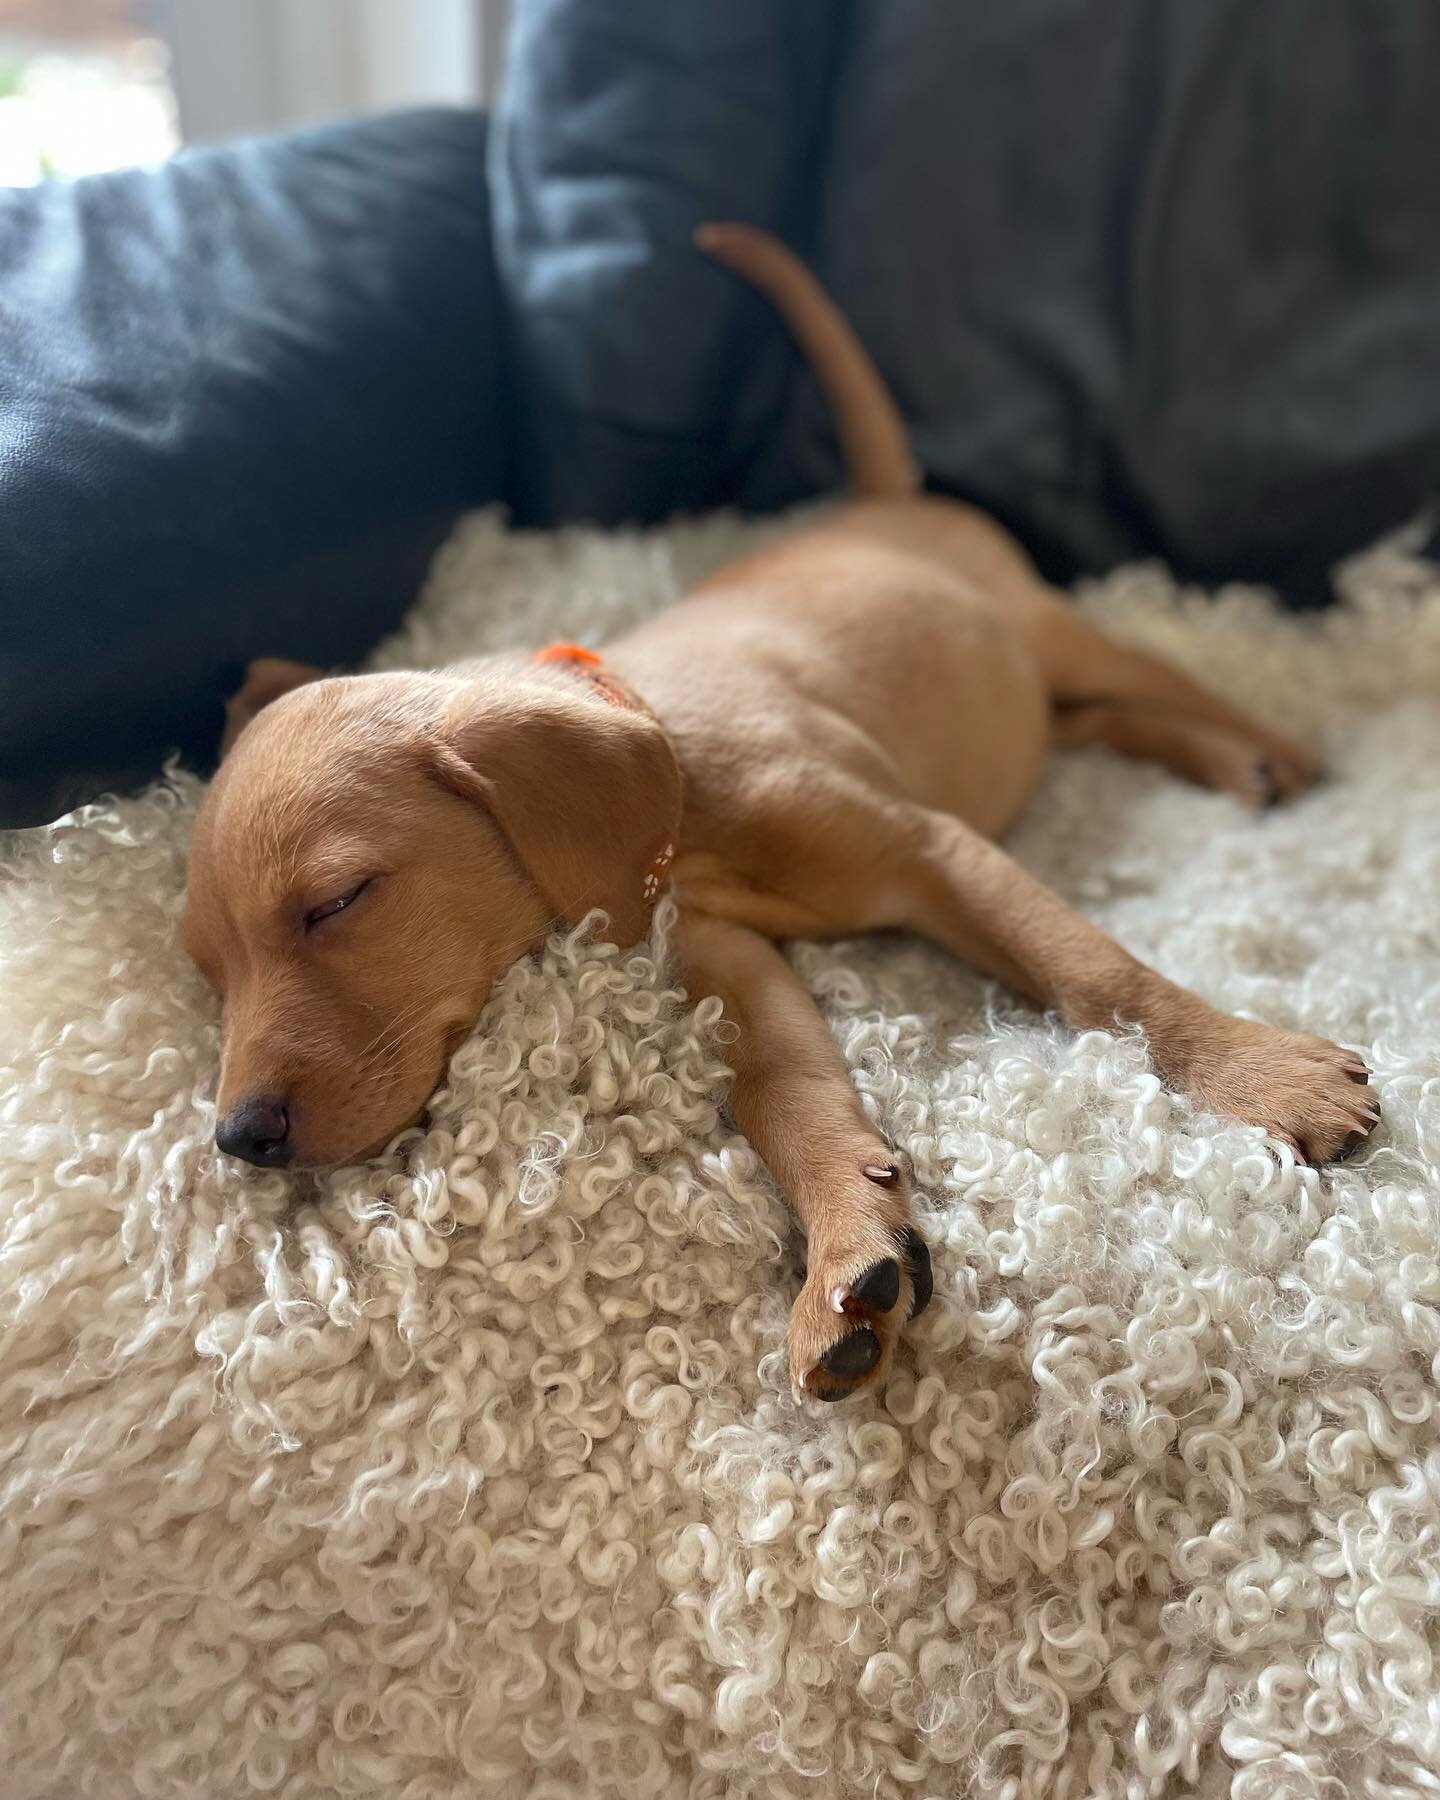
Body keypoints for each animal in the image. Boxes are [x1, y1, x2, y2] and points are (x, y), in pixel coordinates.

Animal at [185, 221, 1375, 1404]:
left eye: (338, 902)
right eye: (209, 971)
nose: (238, 1139)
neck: (678, 803)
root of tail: (883, 502)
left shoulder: (932, 849)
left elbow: (1100, 976)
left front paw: (1261, 1075)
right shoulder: (729, 964)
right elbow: (790, 1095)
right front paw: (851, 1251)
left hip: (1049, 627)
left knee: (1153, 679)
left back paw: (1270, 751)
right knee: (1094, 720)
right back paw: (1233, 763)